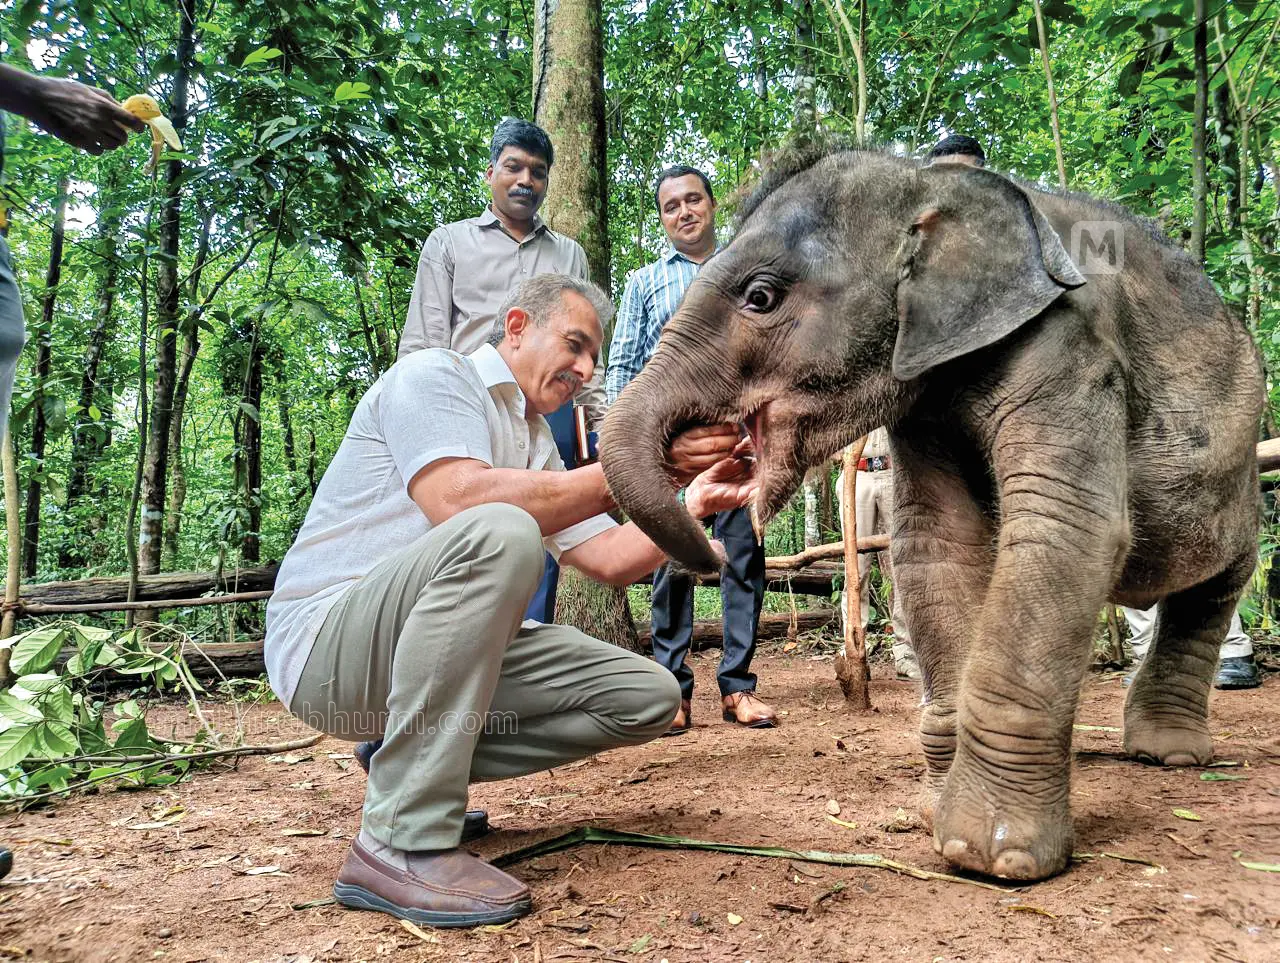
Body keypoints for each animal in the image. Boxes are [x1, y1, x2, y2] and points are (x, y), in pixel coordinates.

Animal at [599, 149, 1263, 882]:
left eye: (761, 297)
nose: (713, 547)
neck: (928, 178)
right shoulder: (923, 392)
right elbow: (935, 542)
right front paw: (932, 813)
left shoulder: (1072, 345)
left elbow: (1064, 529)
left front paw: (990, 855)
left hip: (1238, 466)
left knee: (1217, 581)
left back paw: (1168, 753)